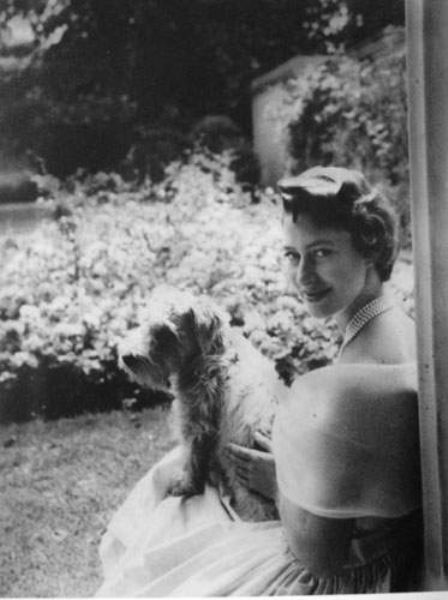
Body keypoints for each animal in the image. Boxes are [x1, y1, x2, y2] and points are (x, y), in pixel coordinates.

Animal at [119, 286, 287, 521]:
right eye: (143, 321)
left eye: (164, 331)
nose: (127, 357)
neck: (214, 353)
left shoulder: (197, 421)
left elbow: (192, 459)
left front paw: (184, 486)